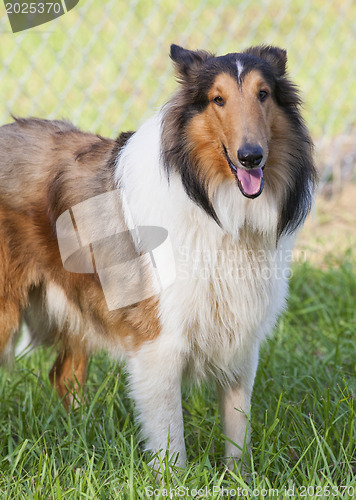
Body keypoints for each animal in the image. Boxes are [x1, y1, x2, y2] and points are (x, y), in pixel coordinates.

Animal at [1, 44, 316, 468]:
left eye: (263, 94)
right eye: (217, 99)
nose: (251, 157)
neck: (213, 204)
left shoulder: (241, 340)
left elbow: (238, 426)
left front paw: (238, 476)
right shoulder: (160, 343)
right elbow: (170, 437)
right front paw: (175, 477)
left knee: (63, 375)